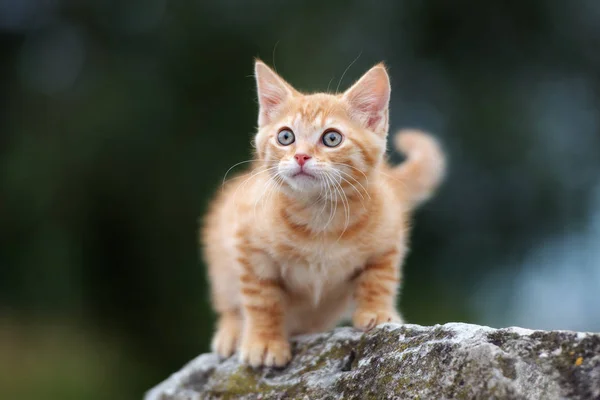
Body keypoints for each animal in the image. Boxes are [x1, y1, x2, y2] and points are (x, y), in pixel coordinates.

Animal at [202, 57, 446, 368]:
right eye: (285, 136)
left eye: (331, 138)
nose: (301, 156)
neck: (320, 218)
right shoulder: (247, 242)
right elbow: (261, 299)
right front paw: (264, 341)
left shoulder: (389, 237)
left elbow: (380, 278)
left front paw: (377, 312)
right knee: (230, 301)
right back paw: (232, 332)